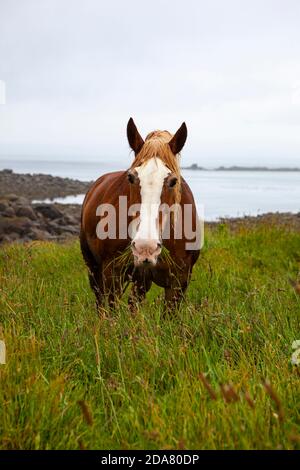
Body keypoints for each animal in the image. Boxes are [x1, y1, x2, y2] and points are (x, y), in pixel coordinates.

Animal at [81, 117, 200, 312]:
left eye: (173, 181)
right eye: (131, 177)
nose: (146, 247)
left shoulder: (179, 281)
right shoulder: (112, 273)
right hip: (94, 267)